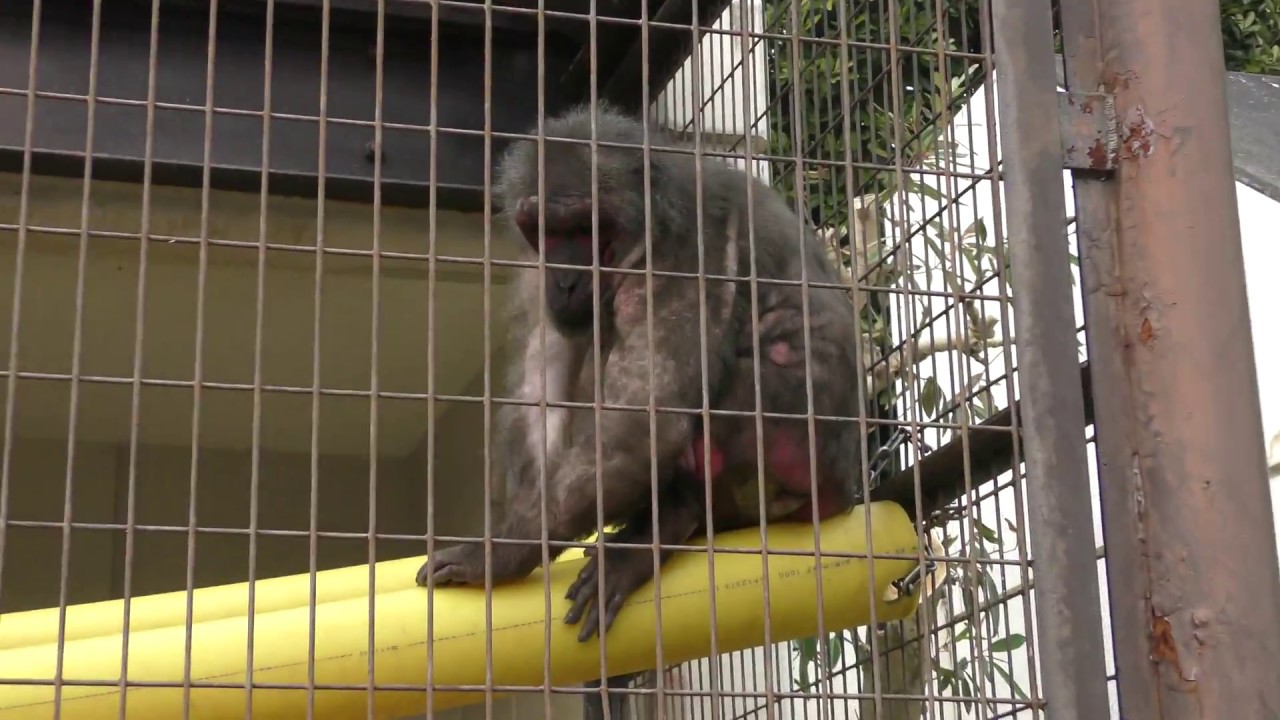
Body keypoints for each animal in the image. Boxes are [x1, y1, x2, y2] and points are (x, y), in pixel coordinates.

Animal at [415, 103, 869, 643]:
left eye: (585, 229)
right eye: (545, 230)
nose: (565, 279)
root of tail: (844, 493)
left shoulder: (682, 254)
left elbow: (646, 412)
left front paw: (500, 554)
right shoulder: (534, 271)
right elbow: (541, 390)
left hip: (801, 453)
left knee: (736, 394)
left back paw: (667, 523)